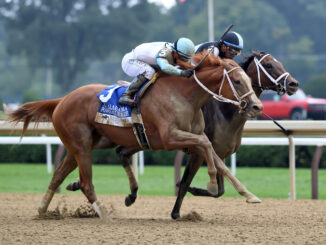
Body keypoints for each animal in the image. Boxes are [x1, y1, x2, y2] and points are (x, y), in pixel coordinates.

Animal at [7, 52, 262, 219]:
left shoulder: (196, 137)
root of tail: (62, 99)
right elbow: (206, 149)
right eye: (237, 81)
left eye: (249, 80)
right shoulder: (171, 138)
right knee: (87, 183)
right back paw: (104, 214)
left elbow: (219, 161)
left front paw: (249, 195)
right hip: (80, 146)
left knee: (58, 175)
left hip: (81, 146)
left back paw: (43, 209)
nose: (257, 106)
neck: (184, 96)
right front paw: (210, 182)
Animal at [71, 50, 298, 219]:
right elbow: (187, 182)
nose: (294, 84)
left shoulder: (220, 152)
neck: (225, 110)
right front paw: (177, 211)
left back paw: (119, 193)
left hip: (140, 140)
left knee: (120, 152)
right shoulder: (197, 152)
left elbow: (221, 185)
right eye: (269, 65)